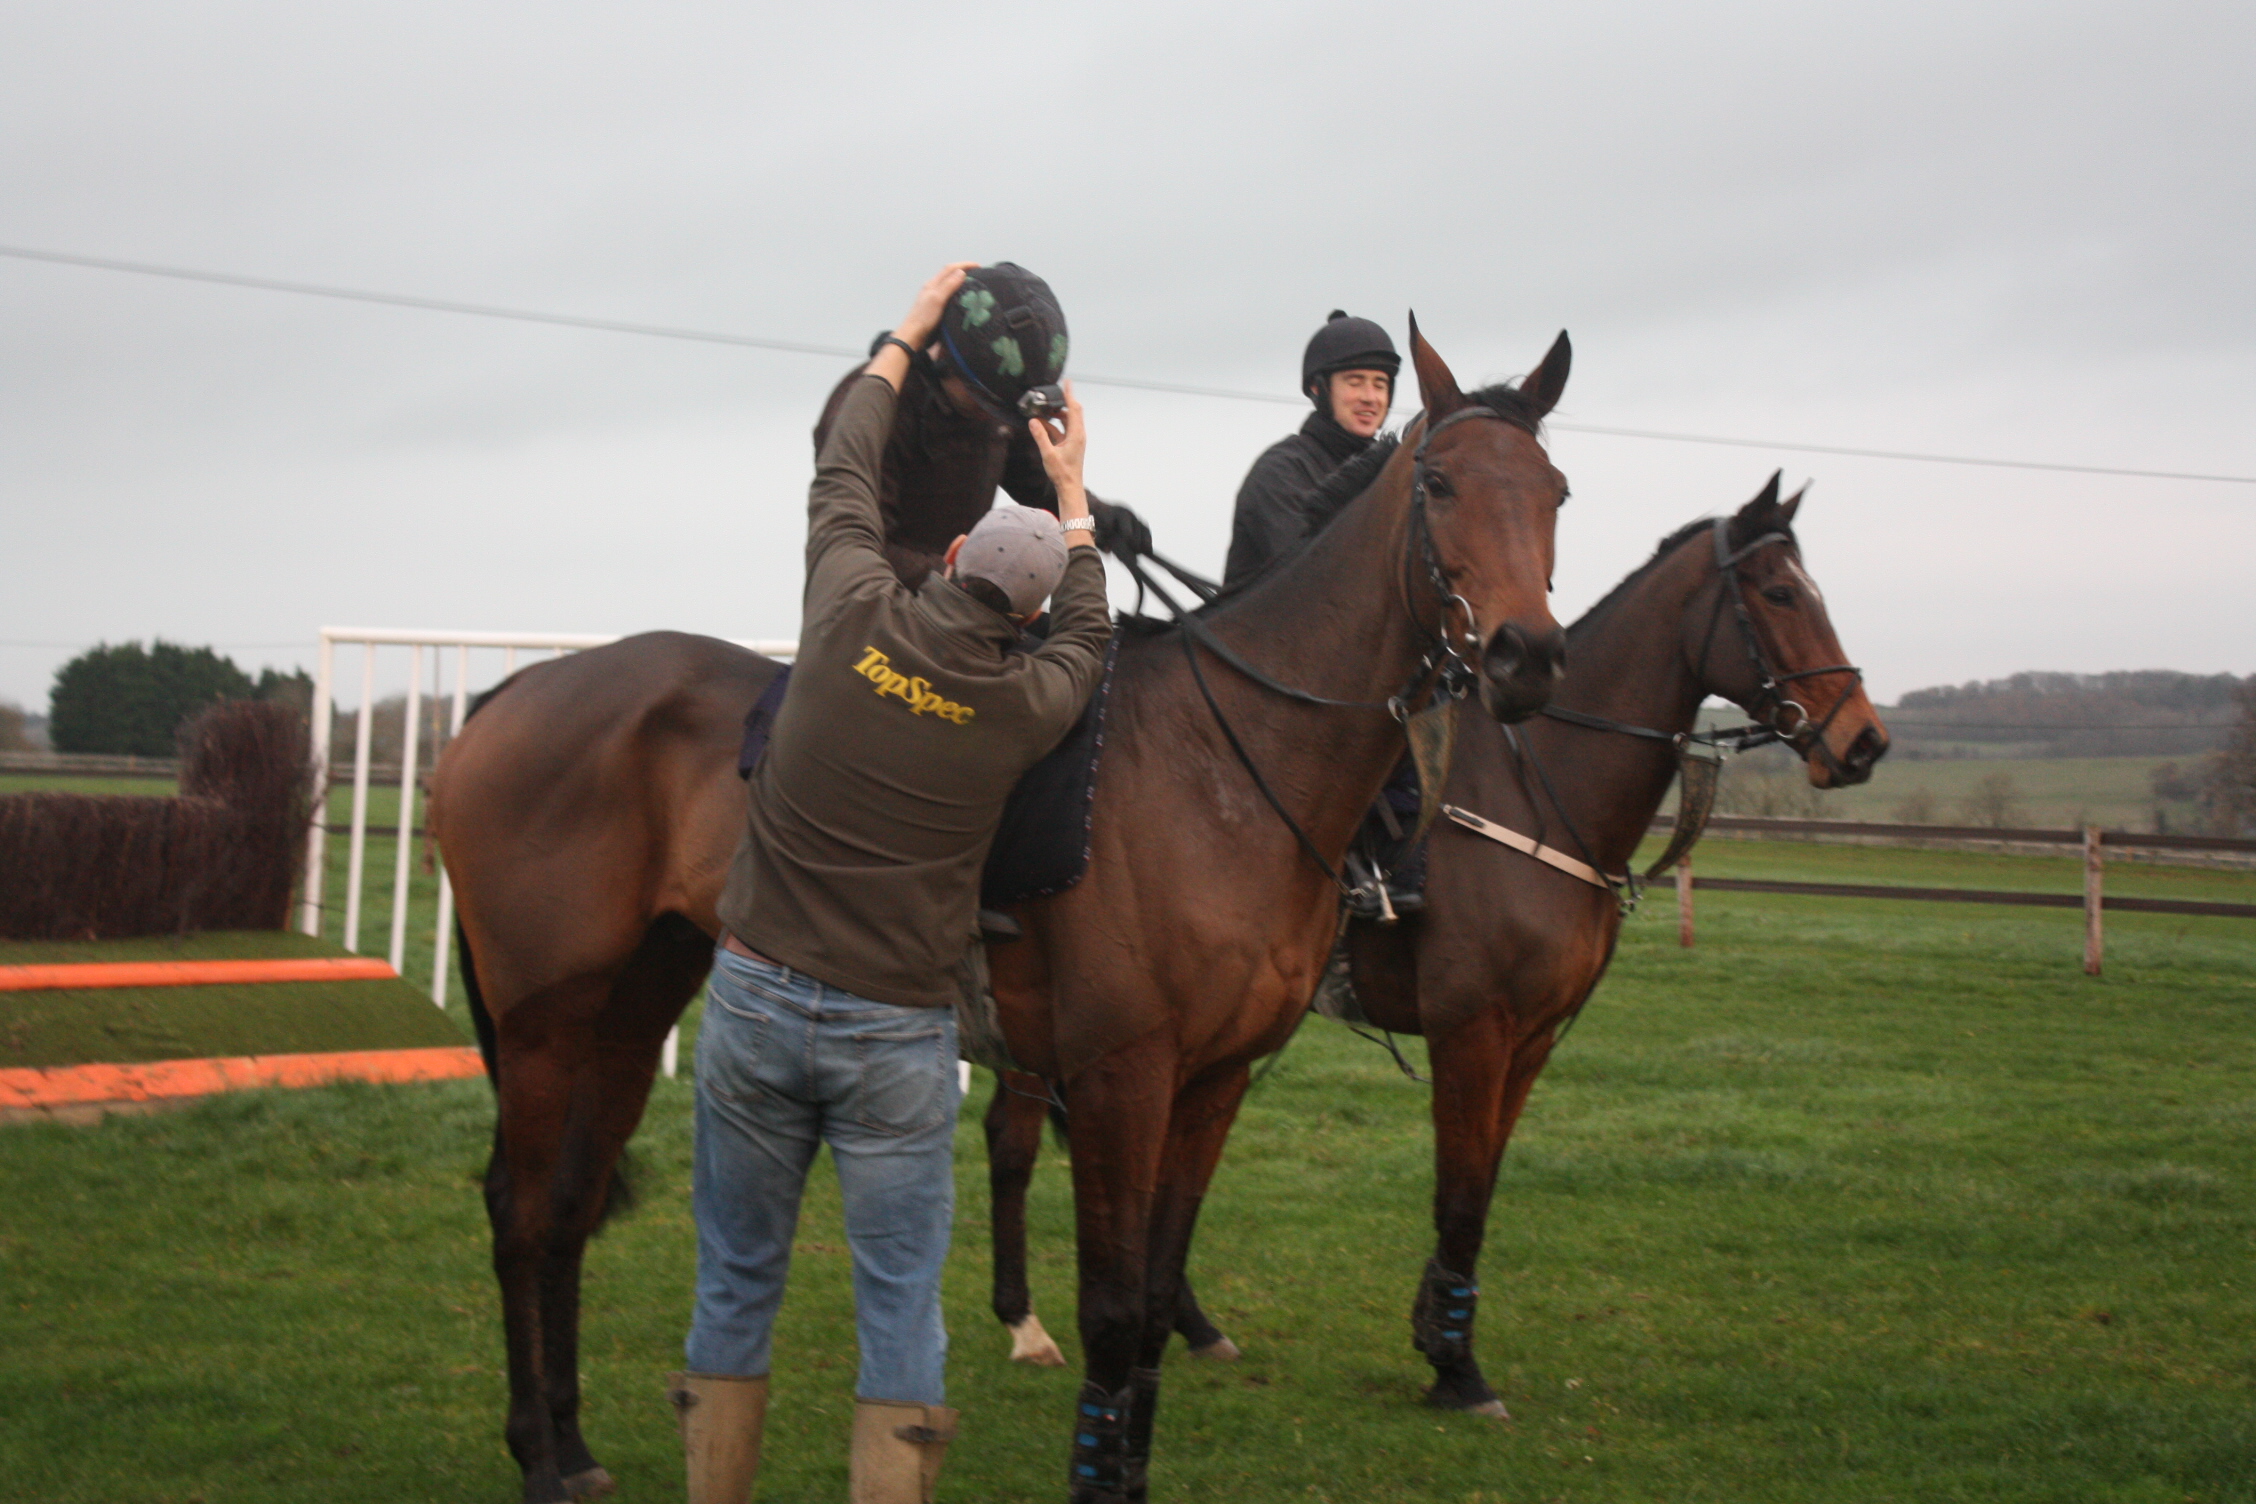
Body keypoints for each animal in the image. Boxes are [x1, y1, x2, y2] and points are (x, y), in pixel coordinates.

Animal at [426, 320, 1570, 1504]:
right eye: (1439, 483)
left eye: (1556, 491)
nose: (1527, 654)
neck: (1228, 760)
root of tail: (509, 698)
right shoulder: (1122, 1073)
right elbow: (1112, 1310)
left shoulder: (1213, 1079)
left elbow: (1153, 1307)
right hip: (545, 1019)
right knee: (520, 1210)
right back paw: (537, 1451)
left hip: (634, 999)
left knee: (567, 1205)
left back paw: (571, 1443)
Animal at [983, 473, 1886, 1425]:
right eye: (1780, 593)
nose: (1864, 739)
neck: (1541, 790)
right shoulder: (1472, 1030)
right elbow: (1457, 1195)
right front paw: (1456, 1367)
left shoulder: (1529, 1041)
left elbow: (1480, 1192)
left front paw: (1440, 1332)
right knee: (1019, 1143)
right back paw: (1031, 1323)